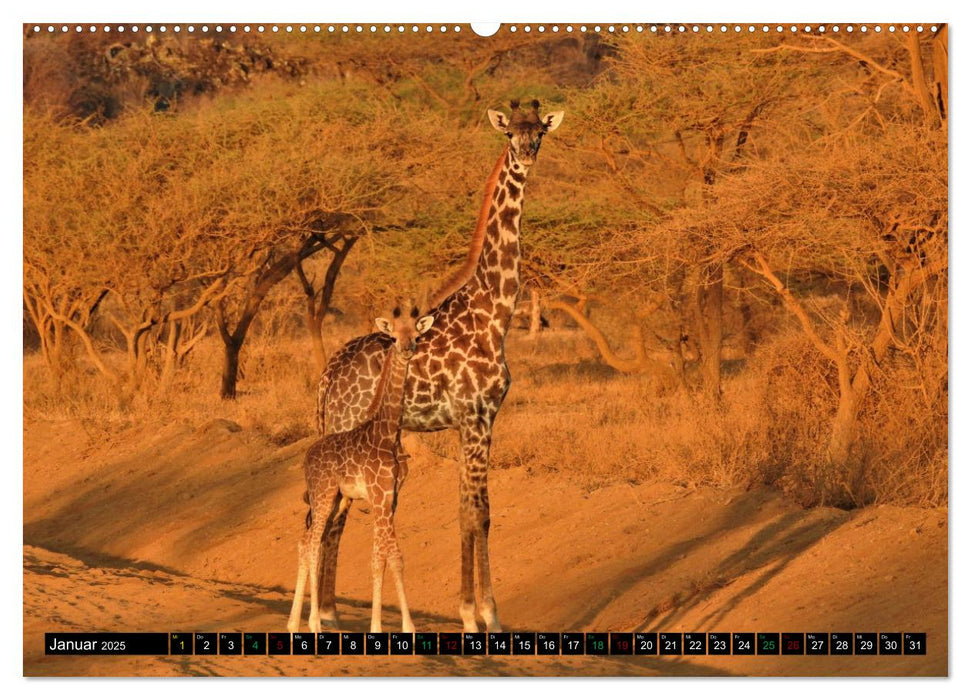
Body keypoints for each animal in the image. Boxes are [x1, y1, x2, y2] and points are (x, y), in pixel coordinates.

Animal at [286, 304, 434, 636]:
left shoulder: (389, 498)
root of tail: (307, 457)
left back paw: (293, 622)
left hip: (336, 498)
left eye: (416, 333)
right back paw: (314, 622)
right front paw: (386, 626)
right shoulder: (378, 496)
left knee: (305, 541)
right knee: (312, 543)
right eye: (394, 334)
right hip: (324, 494)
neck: (385, 432)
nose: (407, 348)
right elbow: (384, 556)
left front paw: (401, 626)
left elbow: (389, 555)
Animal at [316, 100, 564, 636]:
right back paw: (325, 615)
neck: (494, 312)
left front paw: (481, 611)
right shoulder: (475, 418)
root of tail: (326, 378)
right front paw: (480, 614)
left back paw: (328, 612)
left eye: (540, 132)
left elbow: (469, 509)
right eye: (510, 133)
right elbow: (478, 513)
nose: (527, 155)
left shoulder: (479, 421)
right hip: (346, 434)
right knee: (331, 514)